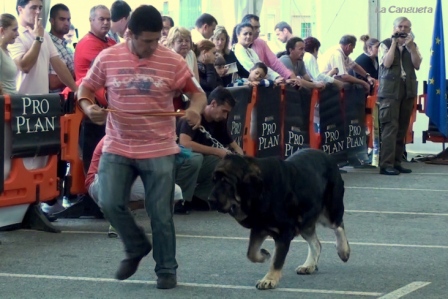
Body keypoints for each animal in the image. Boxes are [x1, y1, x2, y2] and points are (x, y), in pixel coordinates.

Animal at [210, 150, 350, 290]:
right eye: (214, 181)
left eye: (226, 182)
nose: (210, 200)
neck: (262, 190)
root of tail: (328, 156)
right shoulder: (259, 227)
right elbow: (251, 253)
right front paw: (264, 255)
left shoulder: (284, 232)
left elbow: (277, 260)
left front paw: (269, 279)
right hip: (304, 222)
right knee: (316, 243)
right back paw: (309, 265)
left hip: (329, 211)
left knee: (338, 225)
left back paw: (343, 251)